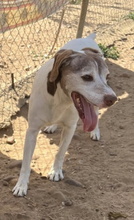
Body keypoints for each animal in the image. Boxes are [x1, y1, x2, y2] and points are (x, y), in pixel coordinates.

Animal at [12, 34, 117, 196]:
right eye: (87, 77)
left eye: (106, 76)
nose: (113, 99)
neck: (60, 100)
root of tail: (88, 37)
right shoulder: (32, 131)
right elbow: (26, 163)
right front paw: (21, 185)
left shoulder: (70, 128)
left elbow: (61, 152)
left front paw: (55, 171)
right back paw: (52, 126)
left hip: (95, 104)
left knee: (96, 115)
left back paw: (95, 131)